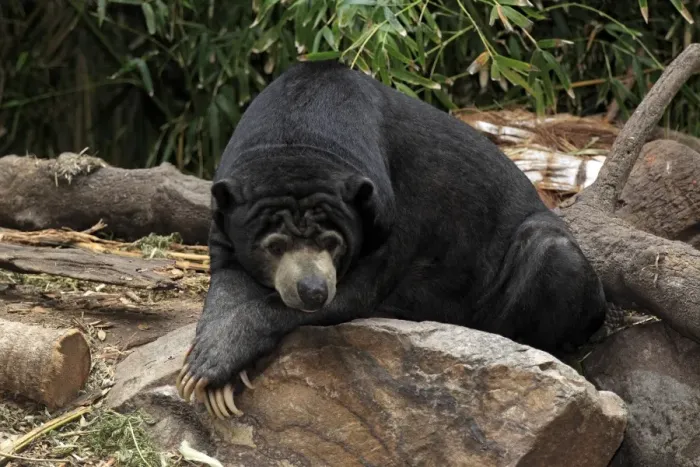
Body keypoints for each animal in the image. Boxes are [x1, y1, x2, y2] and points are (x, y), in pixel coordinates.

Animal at [175, 60, 607, 419]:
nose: (312, 291)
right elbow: (226, 283)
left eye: (333, 242)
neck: (296, 139)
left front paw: (209, 369)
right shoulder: (226, 217)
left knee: (553, 257)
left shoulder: (390, 214)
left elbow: (355, 292)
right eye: (275, 246)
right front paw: (209, 378)